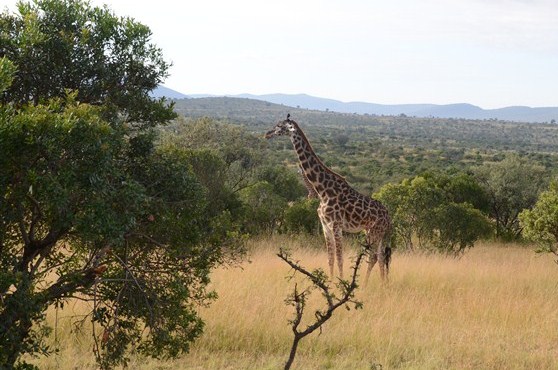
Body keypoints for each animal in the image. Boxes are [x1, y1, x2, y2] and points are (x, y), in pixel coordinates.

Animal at [268, 114, 394, 282]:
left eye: (279, 126)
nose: (267, 134)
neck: (322, 190)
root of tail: (388, 216)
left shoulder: (336, 225)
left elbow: (340, 258)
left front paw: (340, 282)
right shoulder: (325, 226)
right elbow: (330, 258)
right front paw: (330, 281)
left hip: (375, 232)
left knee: (373, 257)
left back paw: (366, 284)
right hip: (375, 232)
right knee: (381, 257)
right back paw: (383, 283)